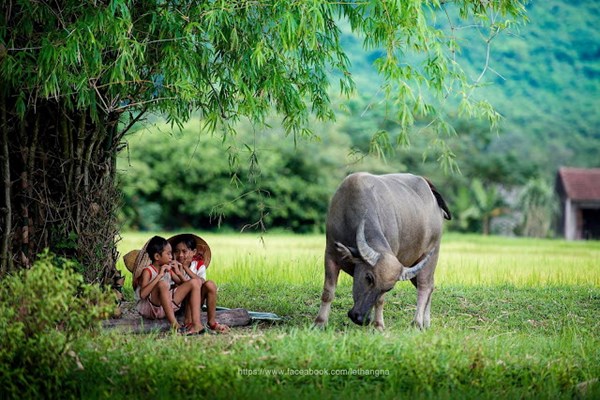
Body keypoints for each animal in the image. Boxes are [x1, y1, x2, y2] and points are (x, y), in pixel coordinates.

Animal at [314, 170, 450, 330]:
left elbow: (380, 301)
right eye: (368, 277)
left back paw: (417, 323)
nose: (360, 319)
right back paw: (426, 323)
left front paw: (378, 325)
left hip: (431, 255)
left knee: (425, 287)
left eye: (388, 288)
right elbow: (328, 292)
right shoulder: (330, 254)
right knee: (429, 286)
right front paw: (320, 322)